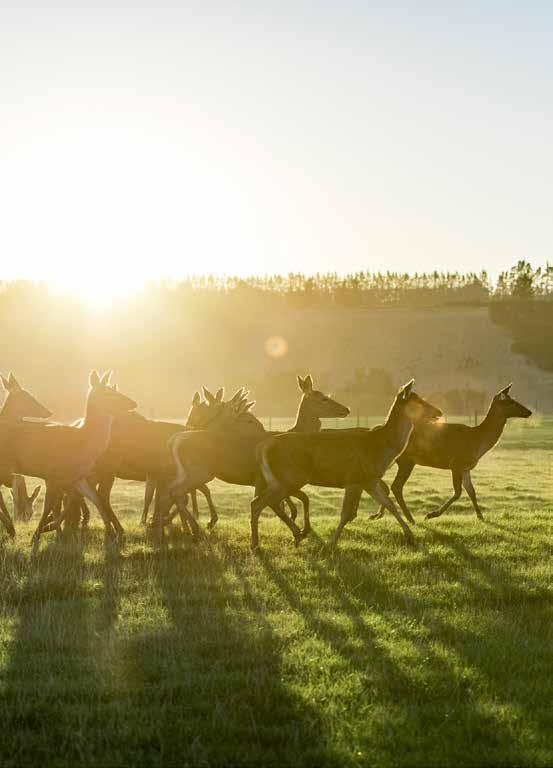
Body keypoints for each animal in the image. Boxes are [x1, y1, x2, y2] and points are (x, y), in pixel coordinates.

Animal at [7, 372, 137, 544]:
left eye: (113, 389)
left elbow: (94, 499)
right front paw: (37, 537)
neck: (81, 443)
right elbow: (50, 506)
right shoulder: (52, 474)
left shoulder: (77, 477)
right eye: (107, 393)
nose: (133, 403)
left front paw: (111, 534)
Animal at [162, 376, 350, 536]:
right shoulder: (263, 479)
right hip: (201, 472)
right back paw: (190, 525)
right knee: (181, 492)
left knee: (180, 492)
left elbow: (288, 500)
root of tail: (175, 440)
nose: (346, 409)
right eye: (323, 398)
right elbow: (274, 503)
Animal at [248, 380, 442, 548]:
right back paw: (258, 544)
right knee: (260, 503)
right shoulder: (354, 478)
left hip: (278, 480)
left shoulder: (369, 480)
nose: (439, 412)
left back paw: (291, 536)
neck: (381, 447)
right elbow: (346, 514)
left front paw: (410, 535)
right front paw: (331, 544)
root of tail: (261, 447)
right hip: (289, 477)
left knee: (262, 502)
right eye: (418, 401)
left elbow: (389, 504)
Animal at [370, 382, 532, 520]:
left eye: (514, 399)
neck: (477, 443)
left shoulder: (466, 467)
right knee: (396, 486)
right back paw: (407, 517)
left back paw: (378, 514)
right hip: (406, 461)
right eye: (511, 402)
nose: (529, 412)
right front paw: (432, 514)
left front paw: (480, 516)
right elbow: (458, 492)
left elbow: (472, 491)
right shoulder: (456, 462)